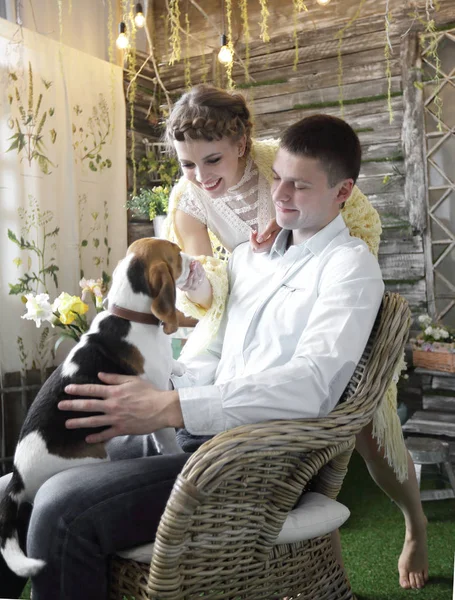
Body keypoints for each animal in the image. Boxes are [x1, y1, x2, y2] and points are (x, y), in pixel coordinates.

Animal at [0, 237, 192, 580]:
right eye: (175, 253)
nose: (194, 259)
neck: (131, 316)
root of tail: (18, 477)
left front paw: (180, 365)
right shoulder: (155, 402)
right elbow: (168, 440)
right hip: (94, 457)